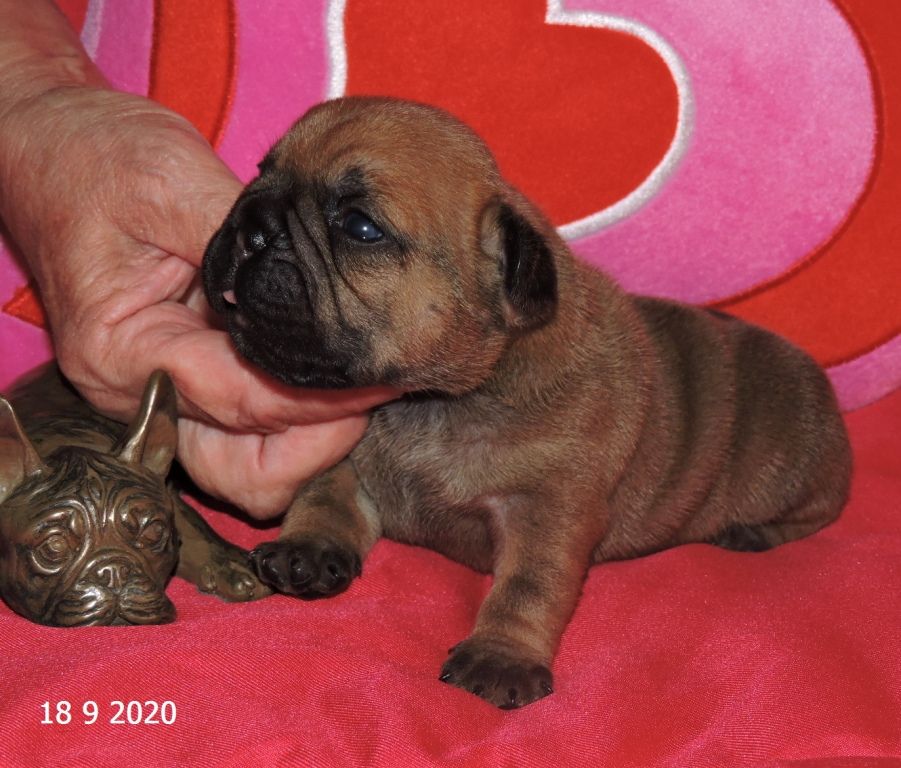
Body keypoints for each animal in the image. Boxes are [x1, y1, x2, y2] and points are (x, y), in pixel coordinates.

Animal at [202, 96, 852, 708]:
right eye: (260, 172)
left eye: (360, 227)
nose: (250, 221)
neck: (432, 400)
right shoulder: (351, 460)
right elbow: (326, 496)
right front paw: (307, 548)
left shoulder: (550, 511)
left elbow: (529, 586)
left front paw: (502, 655)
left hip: (799, 471)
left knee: (814, 513)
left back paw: (751, 534)